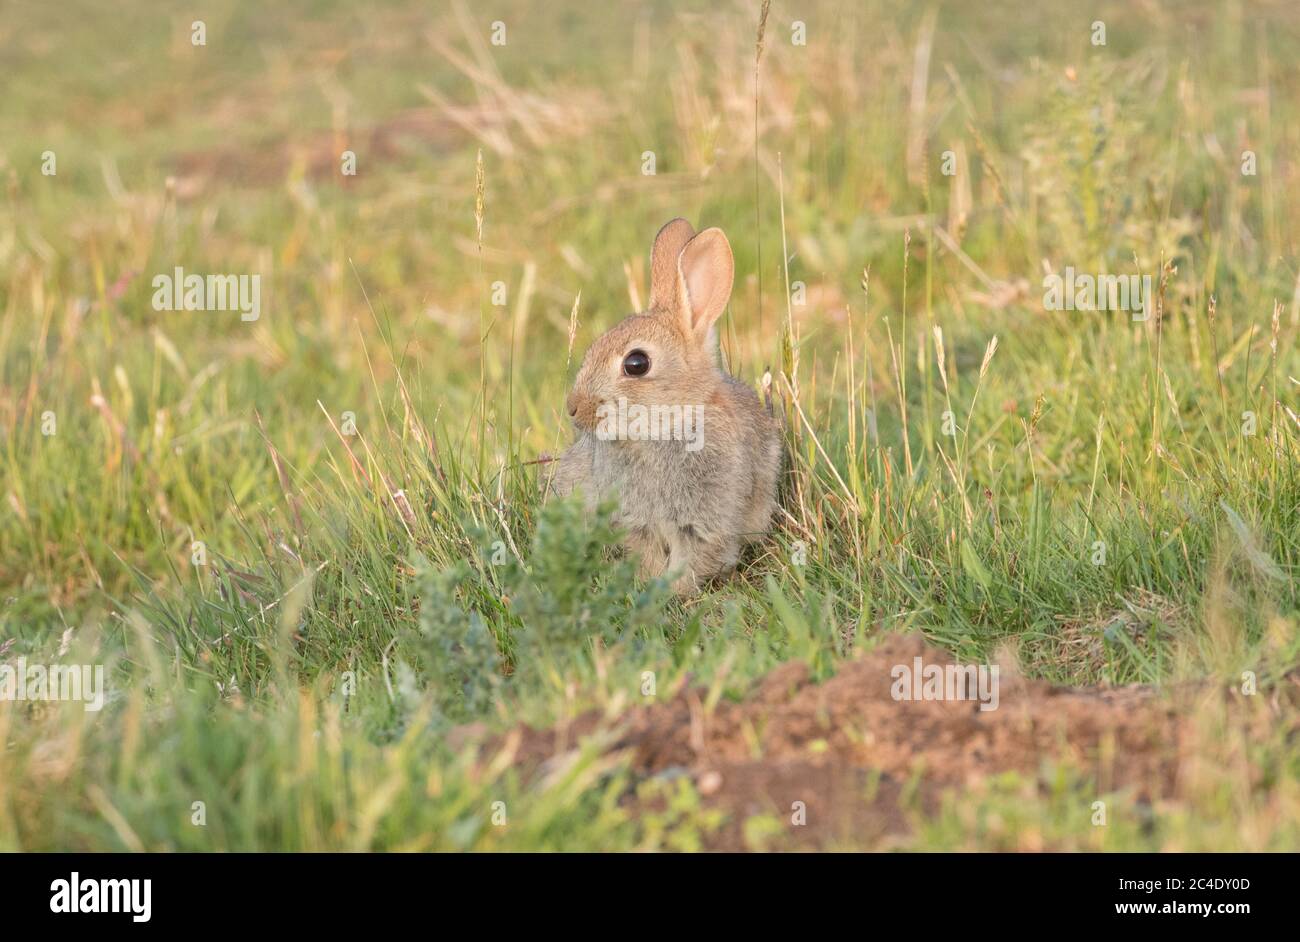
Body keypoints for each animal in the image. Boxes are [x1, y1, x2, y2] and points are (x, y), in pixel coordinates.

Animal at [548, 216, 780, 592]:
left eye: (636, 363)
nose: (574, 407)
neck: (670, 422)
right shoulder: (635, 521)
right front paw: (651, 587)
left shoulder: (704, 520)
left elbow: (695, 559)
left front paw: (674, 592)